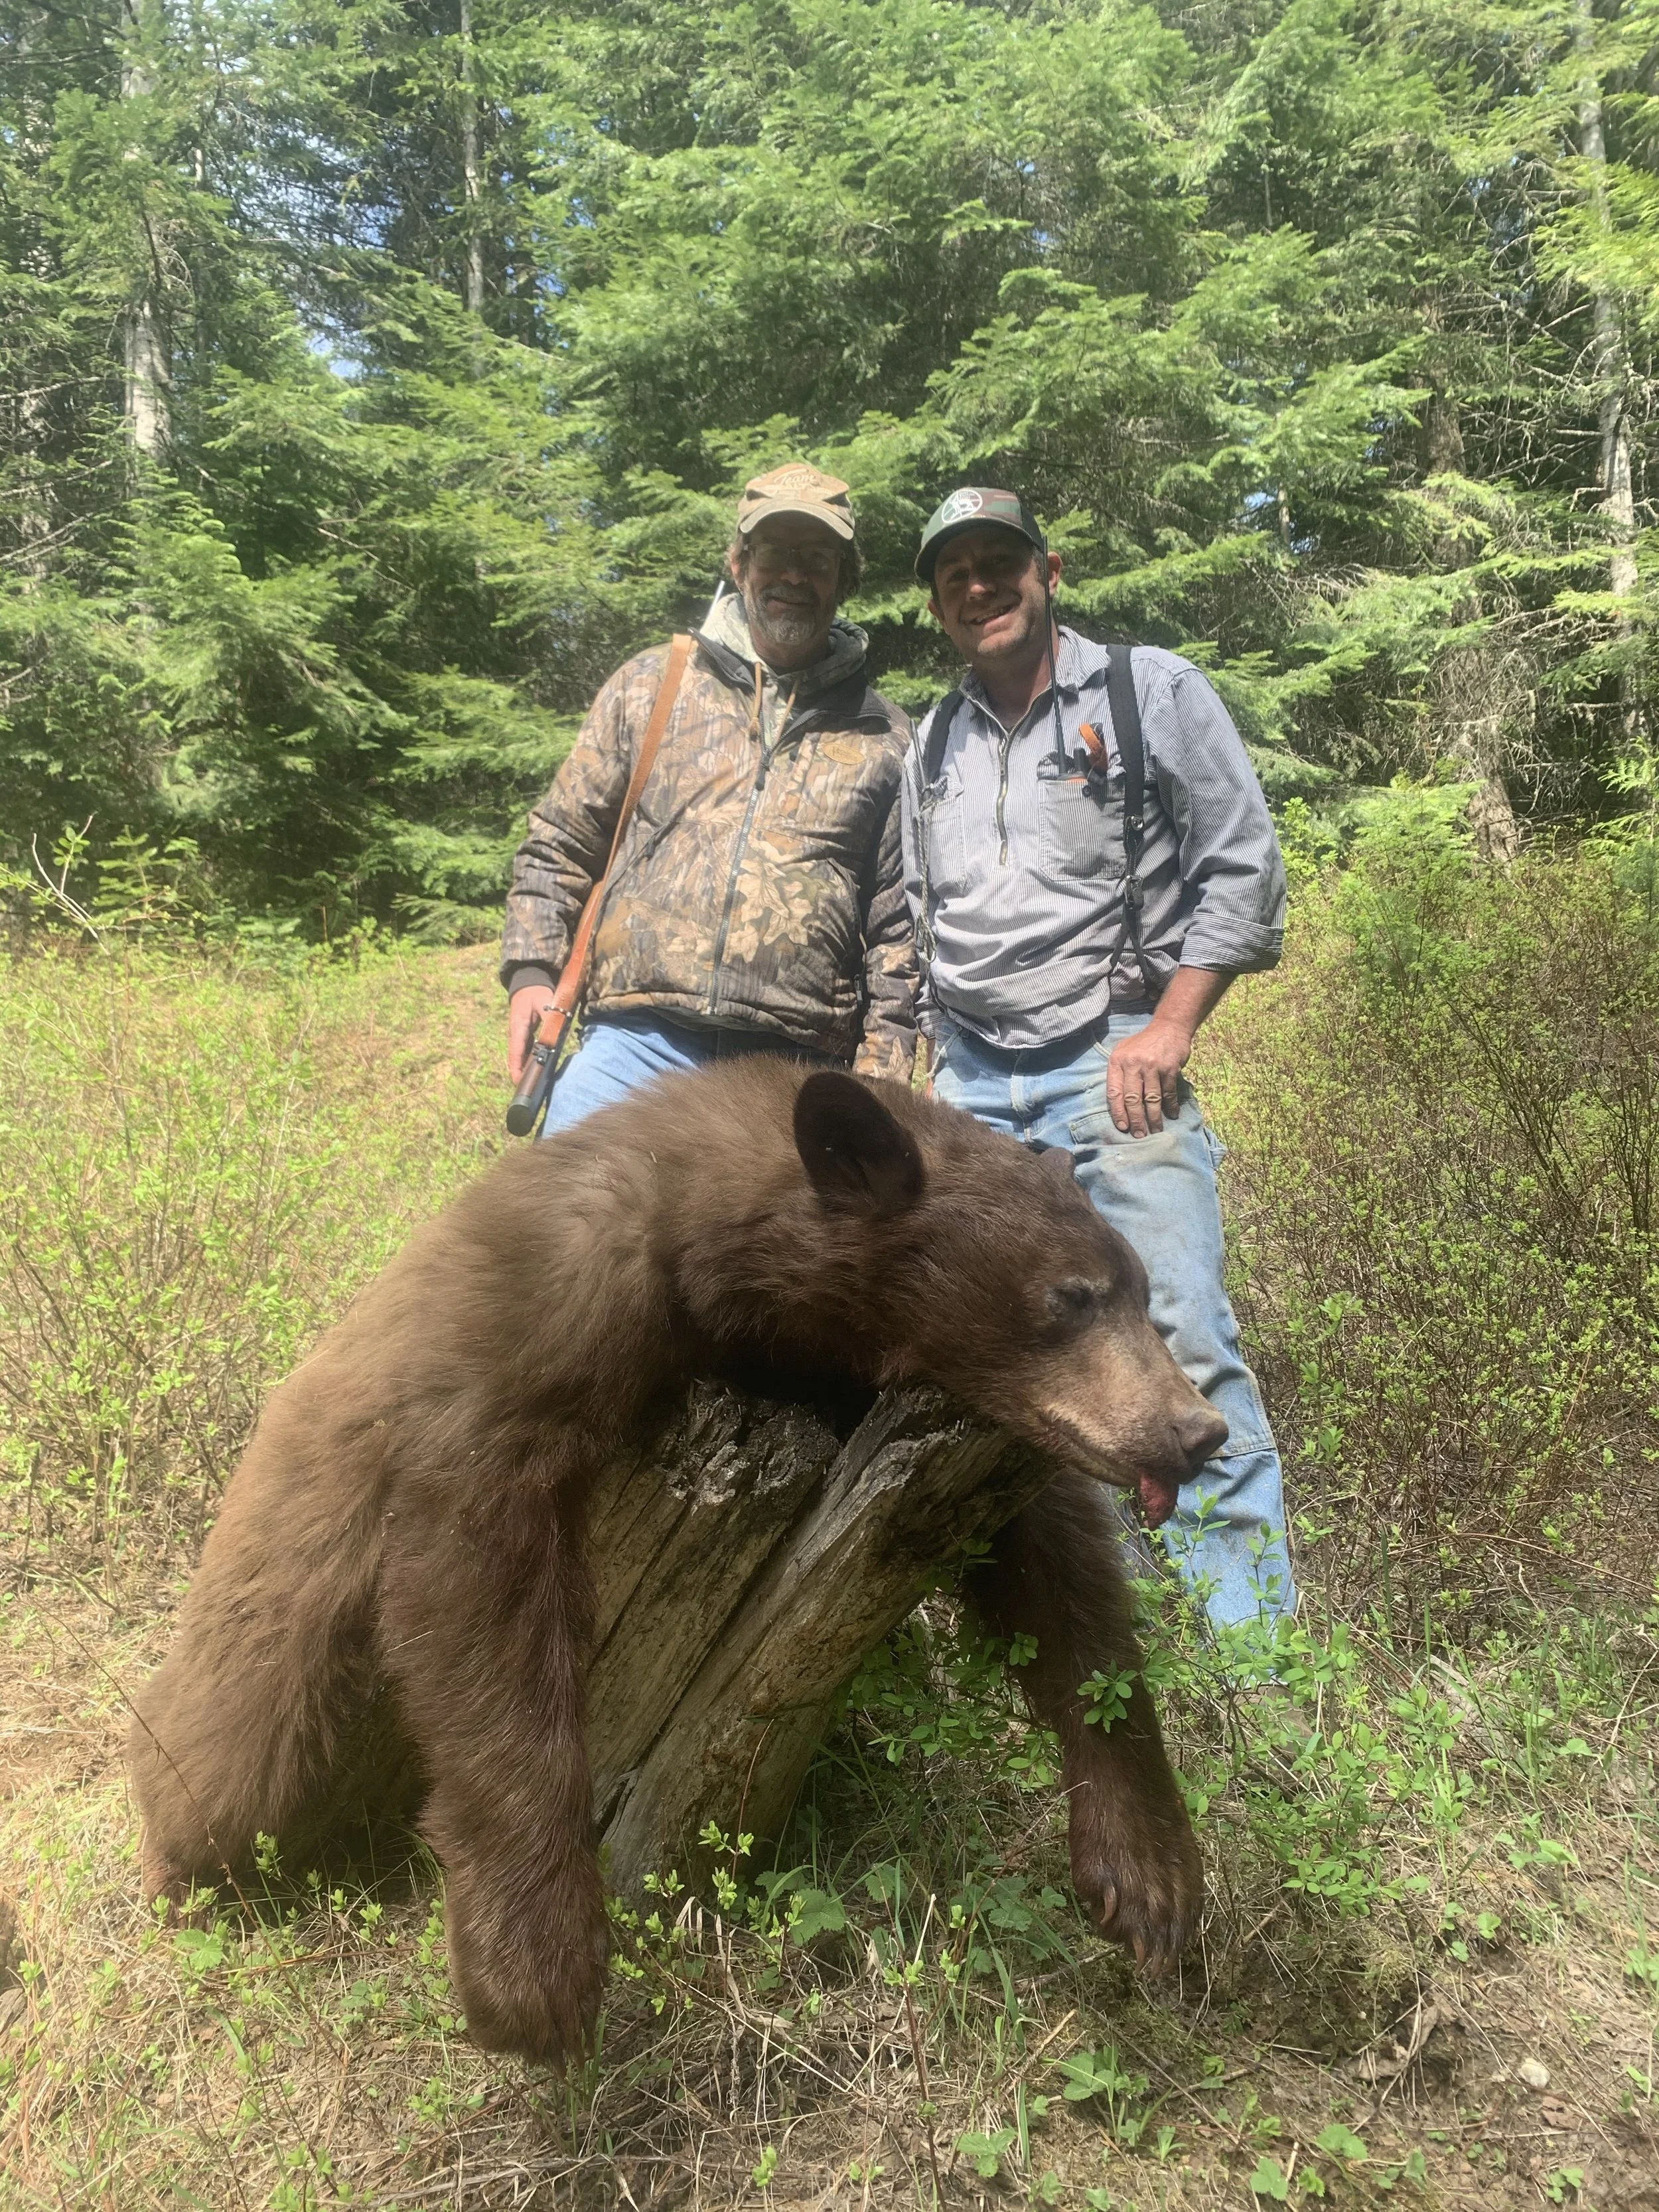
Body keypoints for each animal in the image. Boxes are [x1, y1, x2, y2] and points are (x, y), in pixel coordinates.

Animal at [129, 1063, 1225, 2066]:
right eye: (1070, 1297)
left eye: (1138, 1289)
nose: (1196, 1431)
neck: (716, 1255)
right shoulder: (542, 1323)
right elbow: (477, 1593)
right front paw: (535, 1964)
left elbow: (1065, 1586)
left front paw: (1149, 1873)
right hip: (277, 1640)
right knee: (232, 1772)